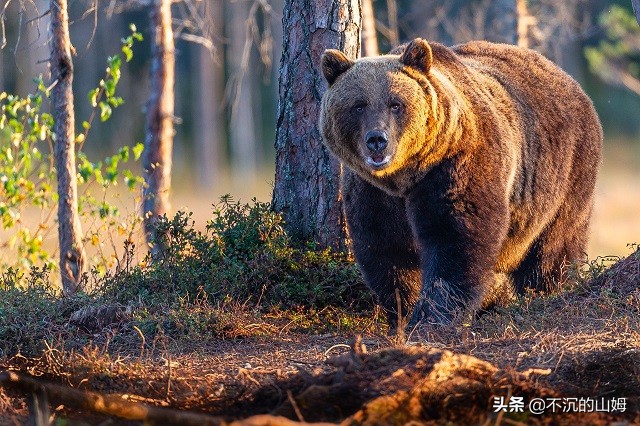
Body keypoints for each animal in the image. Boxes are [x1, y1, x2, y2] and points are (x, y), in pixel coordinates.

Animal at [319, 38, 602, 330]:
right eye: (358, 105)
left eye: (396, 104)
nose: (377, 139)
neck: (403, 178)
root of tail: (561, 73)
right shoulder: (371, 192)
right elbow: (387, 249)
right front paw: (404, 309)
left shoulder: (456, 165)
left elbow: (456, 240)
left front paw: (434, 314)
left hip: (565, 171)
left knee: (553, 245)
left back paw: (544, 291)